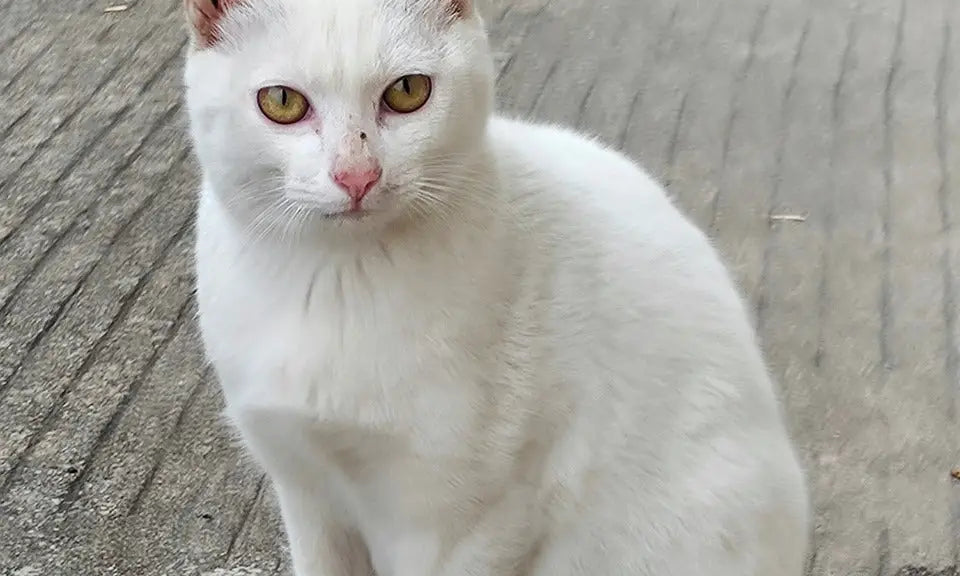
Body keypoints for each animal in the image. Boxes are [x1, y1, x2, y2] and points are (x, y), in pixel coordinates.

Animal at [182, 0, 808, 572]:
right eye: (282, 102)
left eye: (407, 91)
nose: (357, 176)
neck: (336, 280)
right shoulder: (305, 490)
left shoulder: (473, 521)